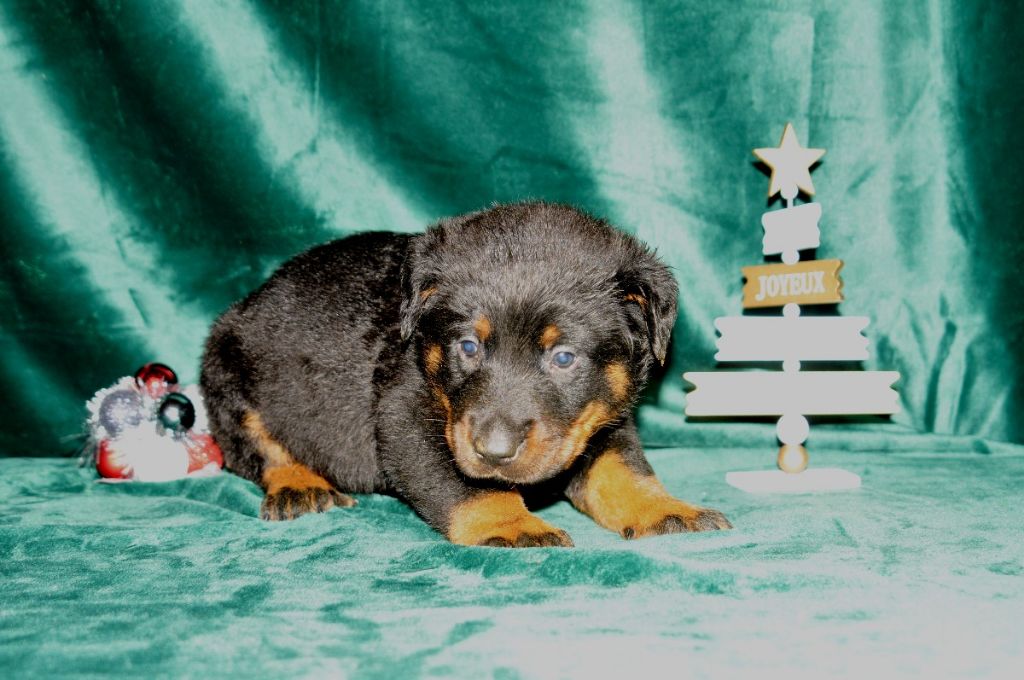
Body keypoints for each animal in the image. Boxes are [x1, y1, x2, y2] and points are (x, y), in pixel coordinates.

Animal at [200, 202, 731, 547]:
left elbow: (623, 470)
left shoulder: (603, 420)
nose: (494, 450)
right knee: (256, 445)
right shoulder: (404, 413)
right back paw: (298, 483)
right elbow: (471, 485)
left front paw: (665, 510)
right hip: (225, 366)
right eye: (468, 347)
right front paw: (513, 526)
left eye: (564, 358)